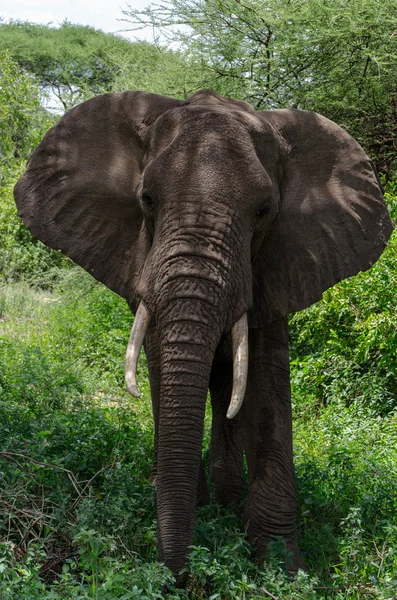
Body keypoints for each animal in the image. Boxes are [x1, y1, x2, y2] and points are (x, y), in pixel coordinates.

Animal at [13, 88, 392, 580]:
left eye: (264, 212)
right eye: (146, 199)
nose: (178, 575)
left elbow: (265, 387)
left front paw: (282, 569)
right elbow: (161, 362)